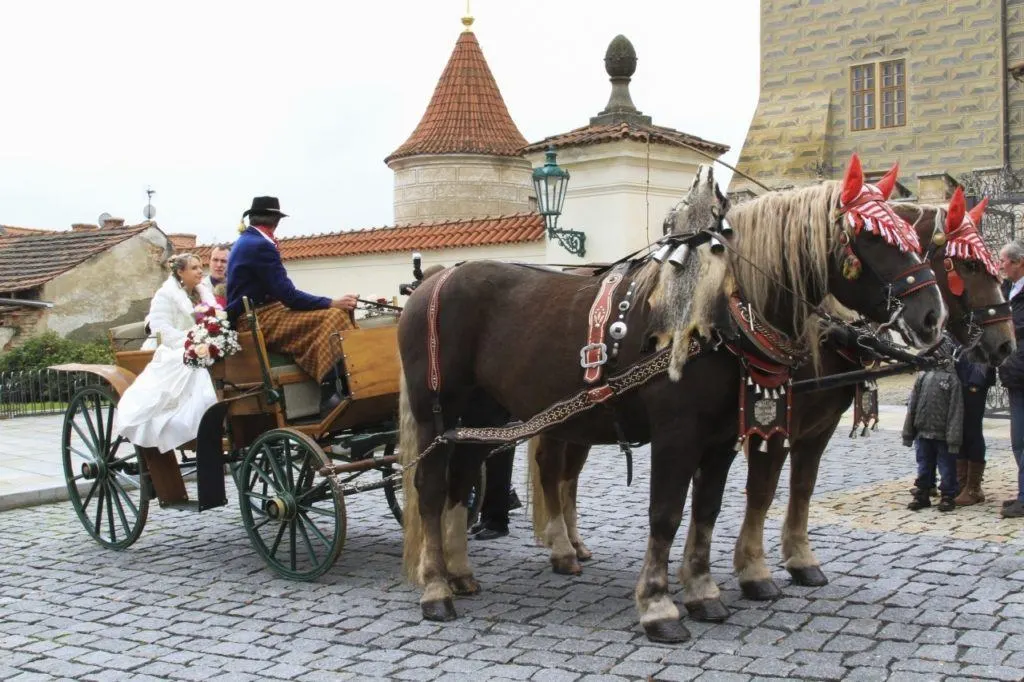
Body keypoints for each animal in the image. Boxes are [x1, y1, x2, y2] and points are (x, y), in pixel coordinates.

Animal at [397, 155, 945, 643]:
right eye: (873, 237)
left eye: (913, 237)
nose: (931, 316)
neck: (722, 314)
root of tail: (433, 280)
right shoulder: (678, 435)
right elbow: (667, 512)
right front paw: (659, 605)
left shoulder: (724, 439)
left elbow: (708, 509)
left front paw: (703, 592)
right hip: (436, 416)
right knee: (431, 487)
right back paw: (436, 588)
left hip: (481, 415)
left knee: (462, 481)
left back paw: (460, 573)